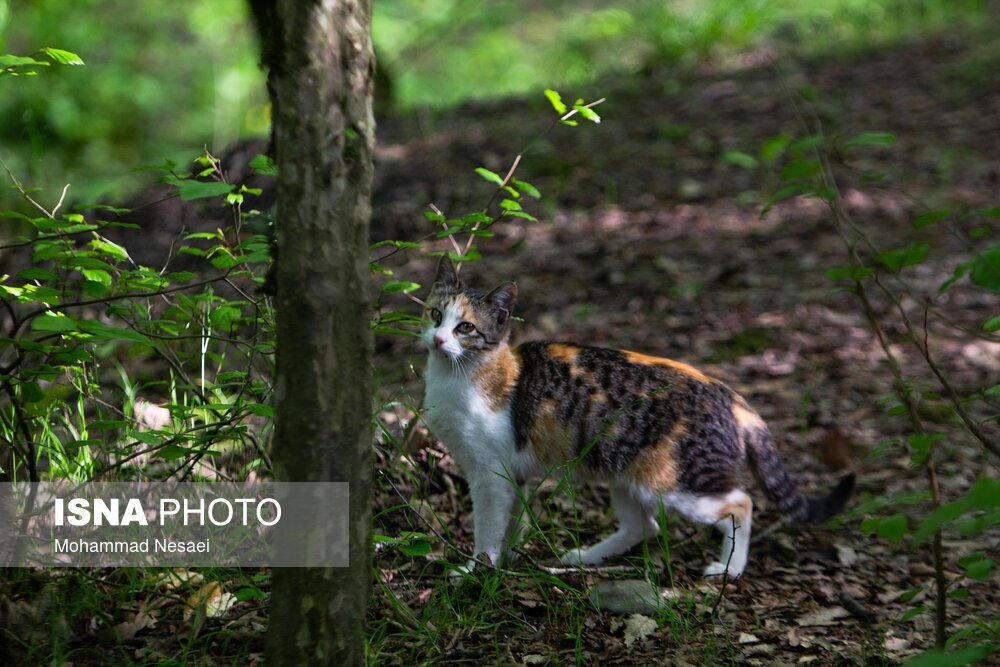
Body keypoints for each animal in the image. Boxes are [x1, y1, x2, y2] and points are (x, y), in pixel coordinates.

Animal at [420, 258, 852, 576]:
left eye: (465, 327)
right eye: (435, 314)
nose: (438, 340)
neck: (457, 377)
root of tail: (731, 395)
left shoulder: (490, 474)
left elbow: (488, 527)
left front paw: (478, 570)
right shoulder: (514, 475)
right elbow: (511, 522)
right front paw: (507, 561)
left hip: (674, 484)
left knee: (741, 504)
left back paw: (730, 568)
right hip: (625, 474)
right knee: (644, 525)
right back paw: (587, 558)